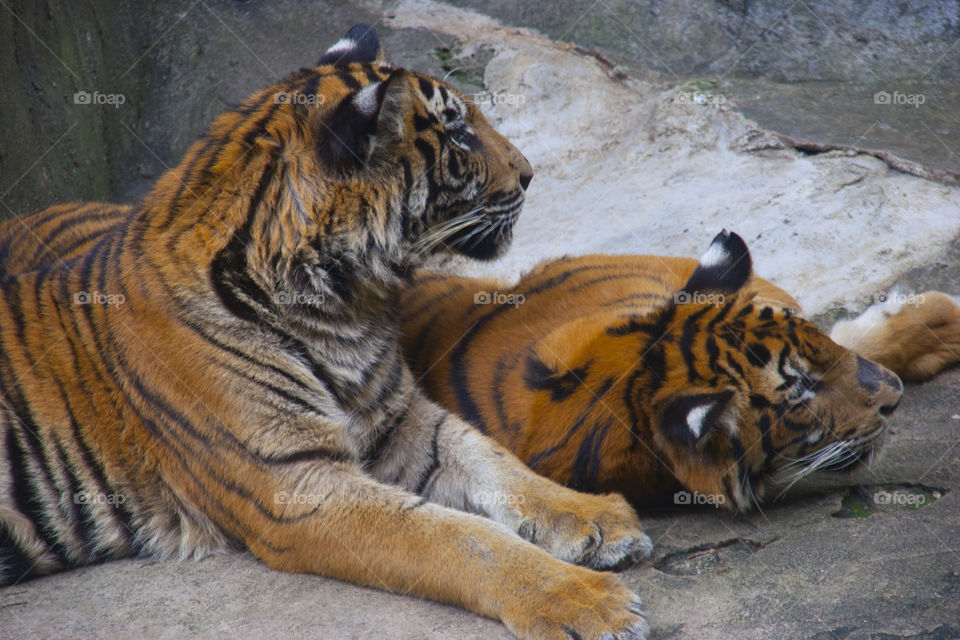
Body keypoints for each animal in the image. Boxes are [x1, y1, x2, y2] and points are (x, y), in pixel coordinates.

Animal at [0, 25, 656, 640]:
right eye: (458, 134)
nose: (529, 175)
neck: (343, 308)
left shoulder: (401, 419)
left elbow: (491, 457)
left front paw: (595, 516)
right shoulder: (294, 484)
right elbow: (455, 537)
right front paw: (583, 600)